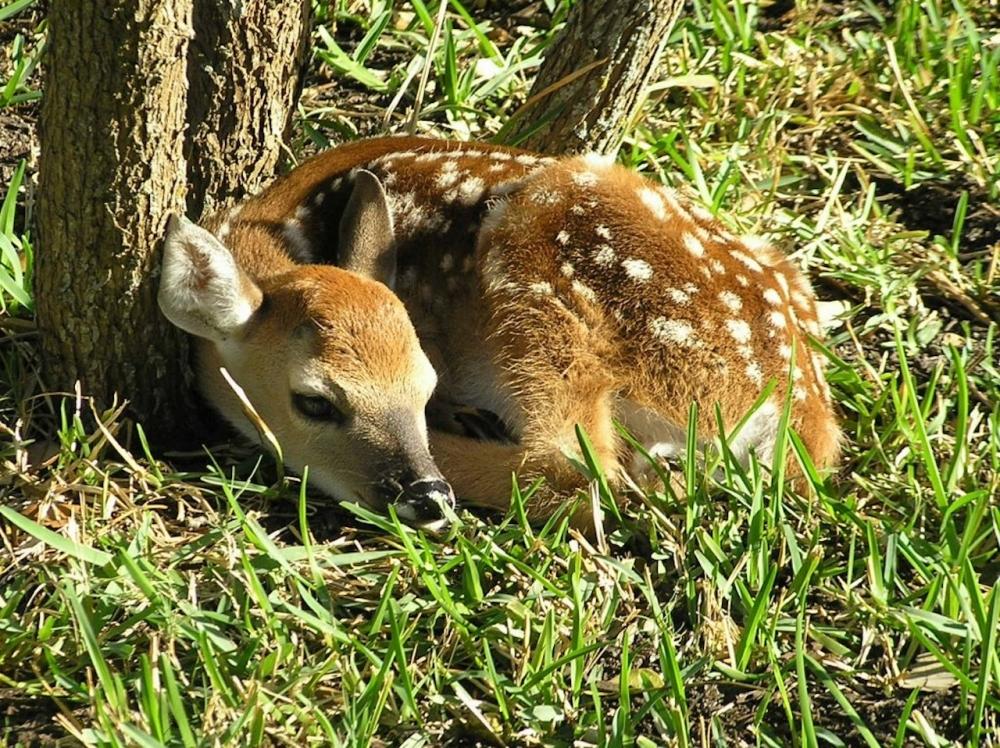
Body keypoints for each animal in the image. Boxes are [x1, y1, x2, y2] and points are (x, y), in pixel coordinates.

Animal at [160, 136, 840, 532]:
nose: (427, 496)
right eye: (314, 401)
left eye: (424, 385)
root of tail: (804, 408)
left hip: (538, 265)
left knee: (583, 470)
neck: (266, 234)